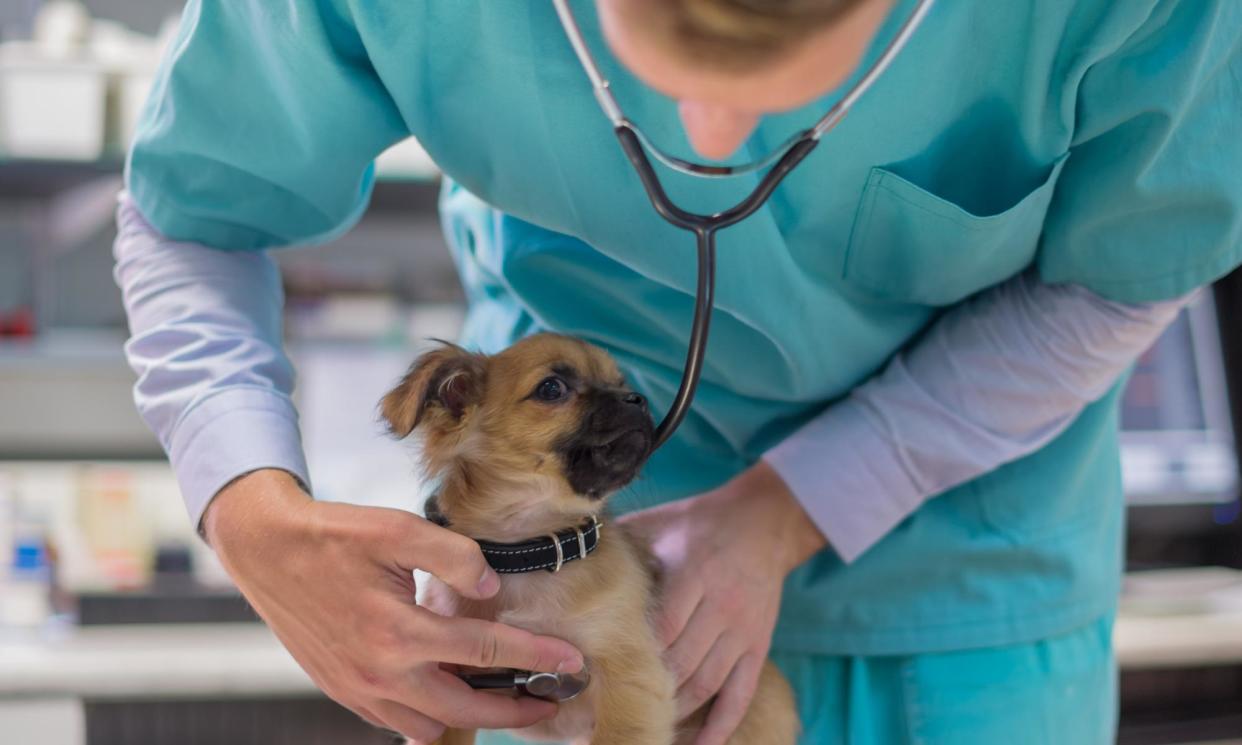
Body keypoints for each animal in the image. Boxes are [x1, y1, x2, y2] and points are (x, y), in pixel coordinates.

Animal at [382, 332, 799, 745]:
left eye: (621, 384)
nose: (637, 399)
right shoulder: (457, 692)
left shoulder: (630, 679)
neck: (529, 555)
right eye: (552, 388)